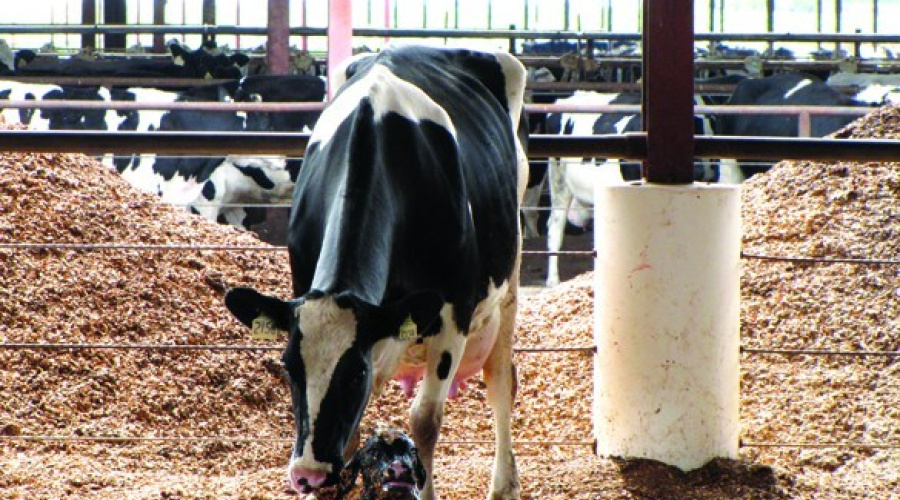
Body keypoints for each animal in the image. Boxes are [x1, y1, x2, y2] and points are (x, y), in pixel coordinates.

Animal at [222, 45, 527, 500]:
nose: (307, 473)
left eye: (355, 374)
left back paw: (504, 484)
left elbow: (425, 420)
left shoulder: (454, 310)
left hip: (508, 282)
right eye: (289, 367)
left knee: (501, 383)